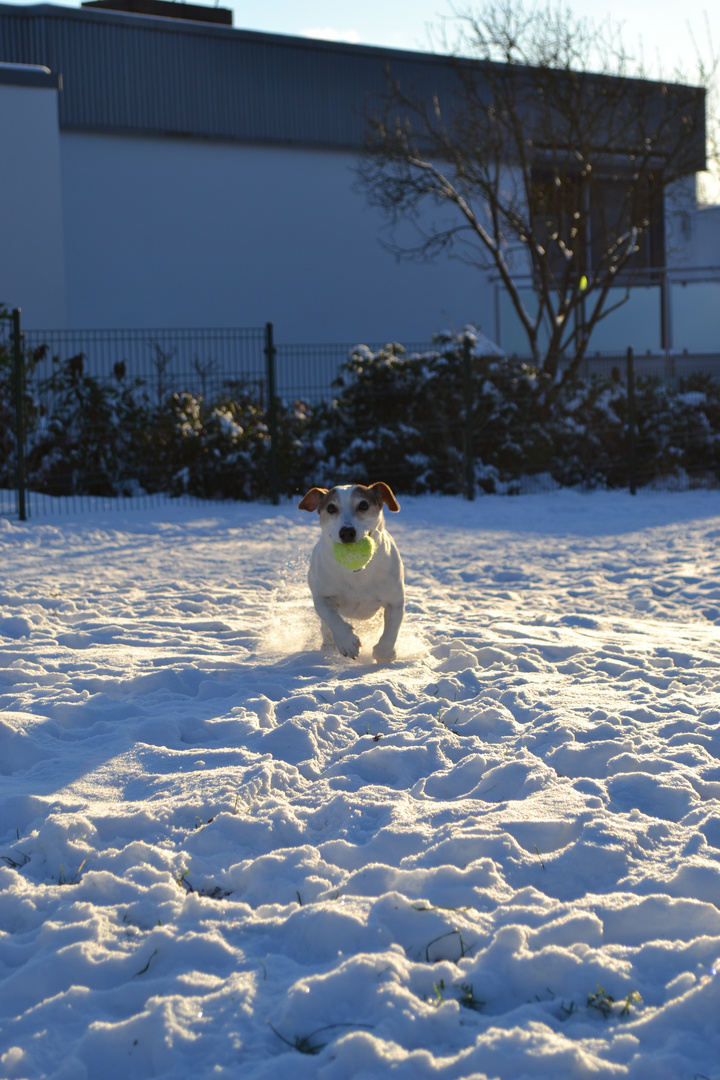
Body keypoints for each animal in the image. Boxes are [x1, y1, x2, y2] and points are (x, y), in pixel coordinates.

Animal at [297, 479, 405, 656]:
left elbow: (391, 630)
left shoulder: (395, 600)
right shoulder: (321, 596)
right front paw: (346, 641)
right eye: (331, 508)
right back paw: (328, 646)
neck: (356, 574)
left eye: (363, 505)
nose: (347, 532)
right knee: (325, 627)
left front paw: (384, 652)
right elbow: (331, 617)